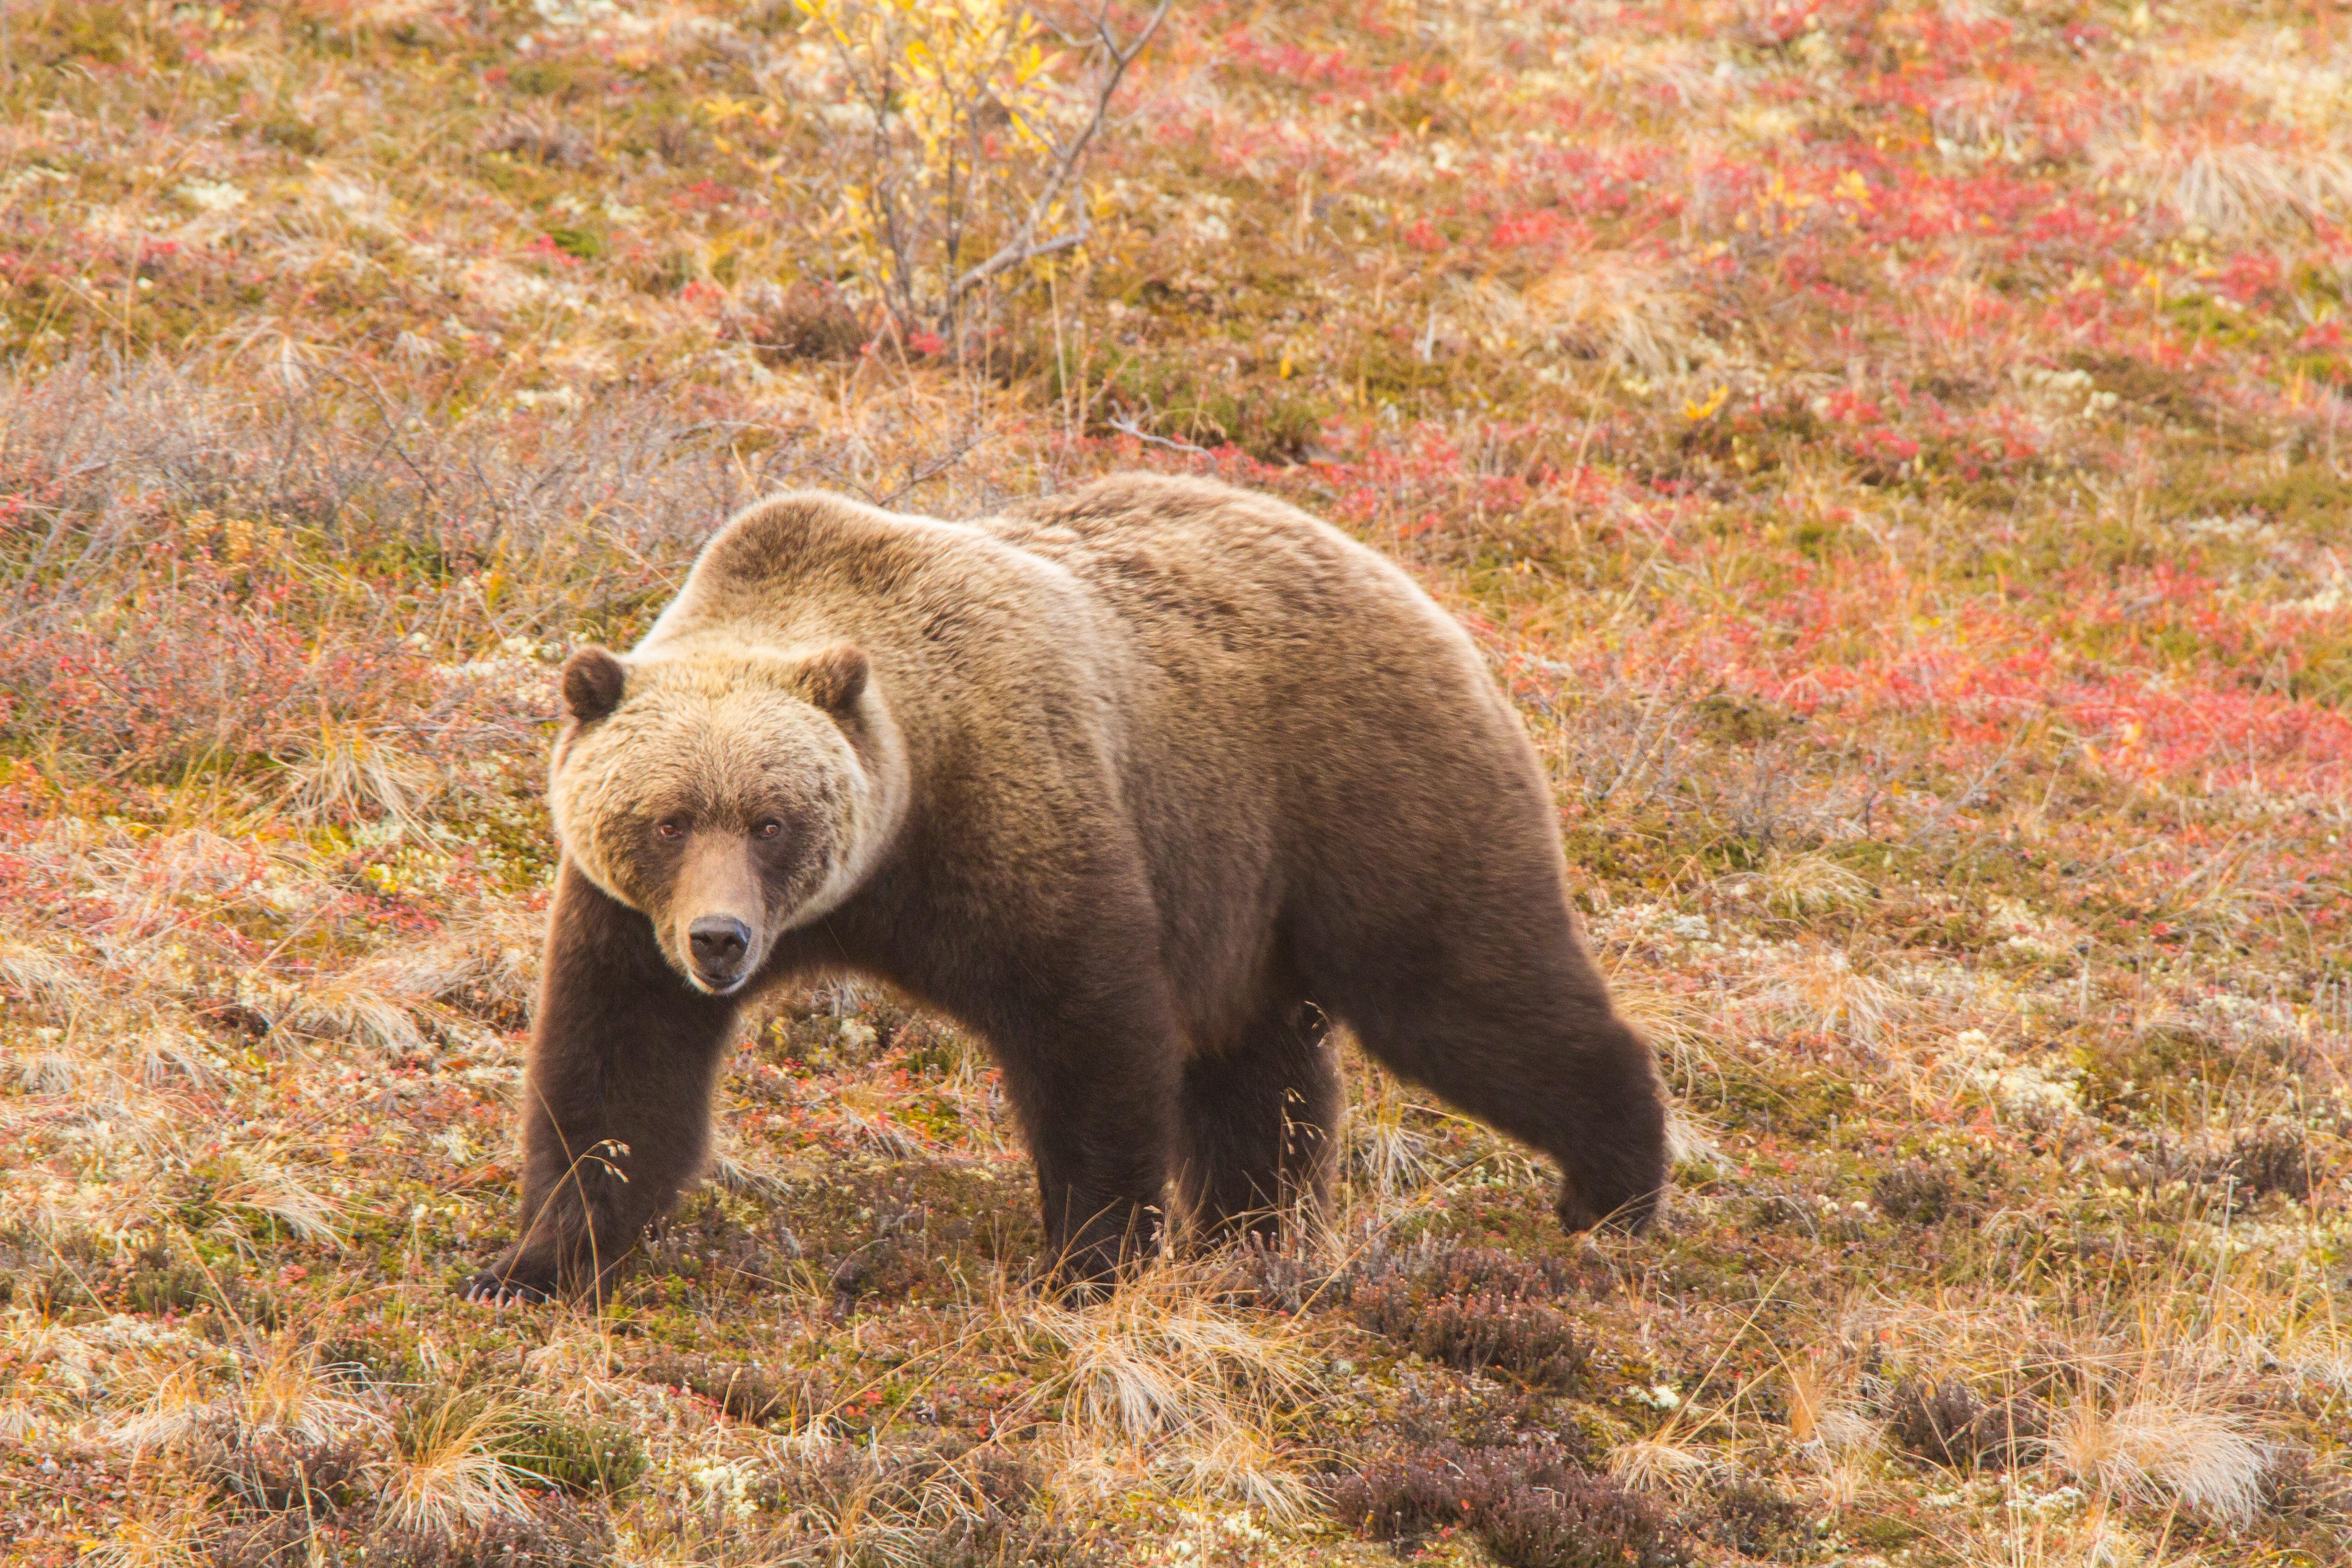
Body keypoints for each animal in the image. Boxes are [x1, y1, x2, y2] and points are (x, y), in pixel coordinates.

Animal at [458, 472, 1675, 1307]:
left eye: (771, 819)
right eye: (668, 818)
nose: (720, 941)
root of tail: (1407, 584)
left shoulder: (1016, 820)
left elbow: (1090, 1036)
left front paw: (1089, 1259)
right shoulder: (626, 920)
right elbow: (616, 1075)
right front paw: (536, 1259)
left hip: (1363, 798)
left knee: (1465, 994)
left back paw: (1612, 1186)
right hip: (1245, 895)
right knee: (1260, 1070)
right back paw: (1255, 1234)